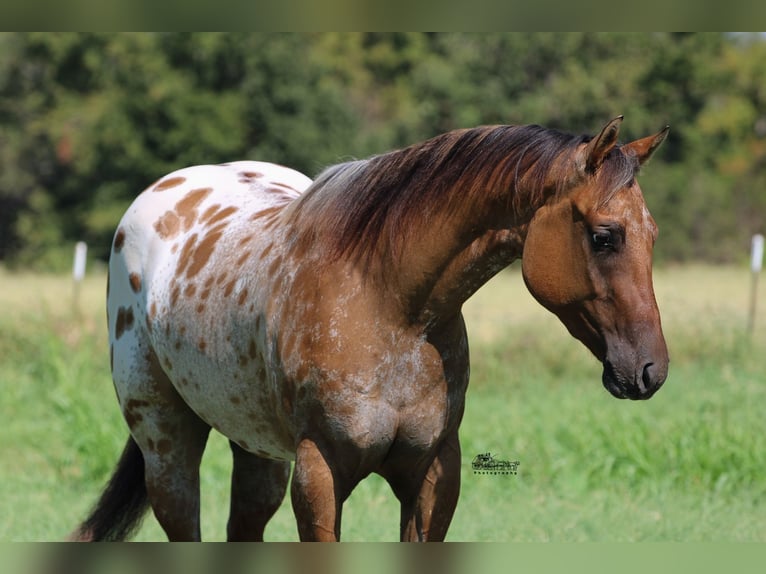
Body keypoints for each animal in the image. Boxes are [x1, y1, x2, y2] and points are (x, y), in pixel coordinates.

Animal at [72, 118, 672, 544]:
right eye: (604, 236)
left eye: (653, 234)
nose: (650, 370)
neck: (391, 307)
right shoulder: (319, 474)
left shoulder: (433, 475)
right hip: (167, 442)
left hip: (258, 450)